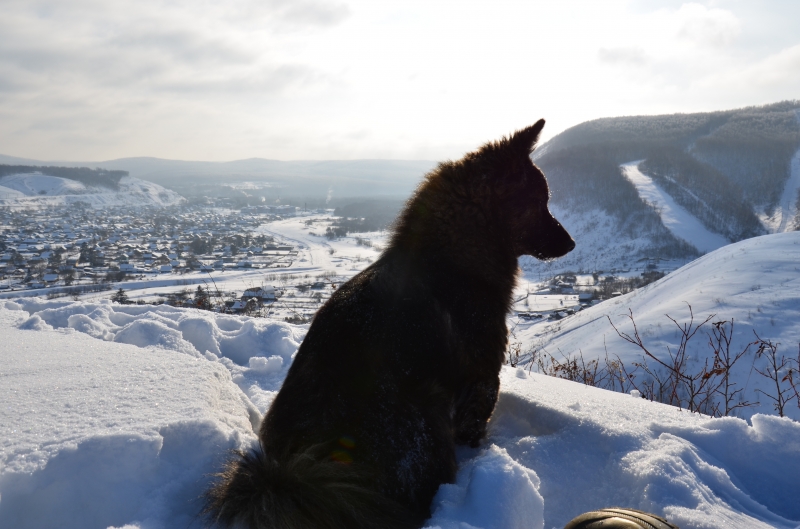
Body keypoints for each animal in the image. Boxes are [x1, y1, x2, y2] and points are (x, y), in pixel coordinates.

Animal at [206, 120, 576, 528]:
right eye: (539, 202)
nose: (572, 243)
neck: (451, 258)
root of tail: (297, 472)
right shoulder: (482, 375)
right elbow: (475, 425)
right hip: (424, 416)